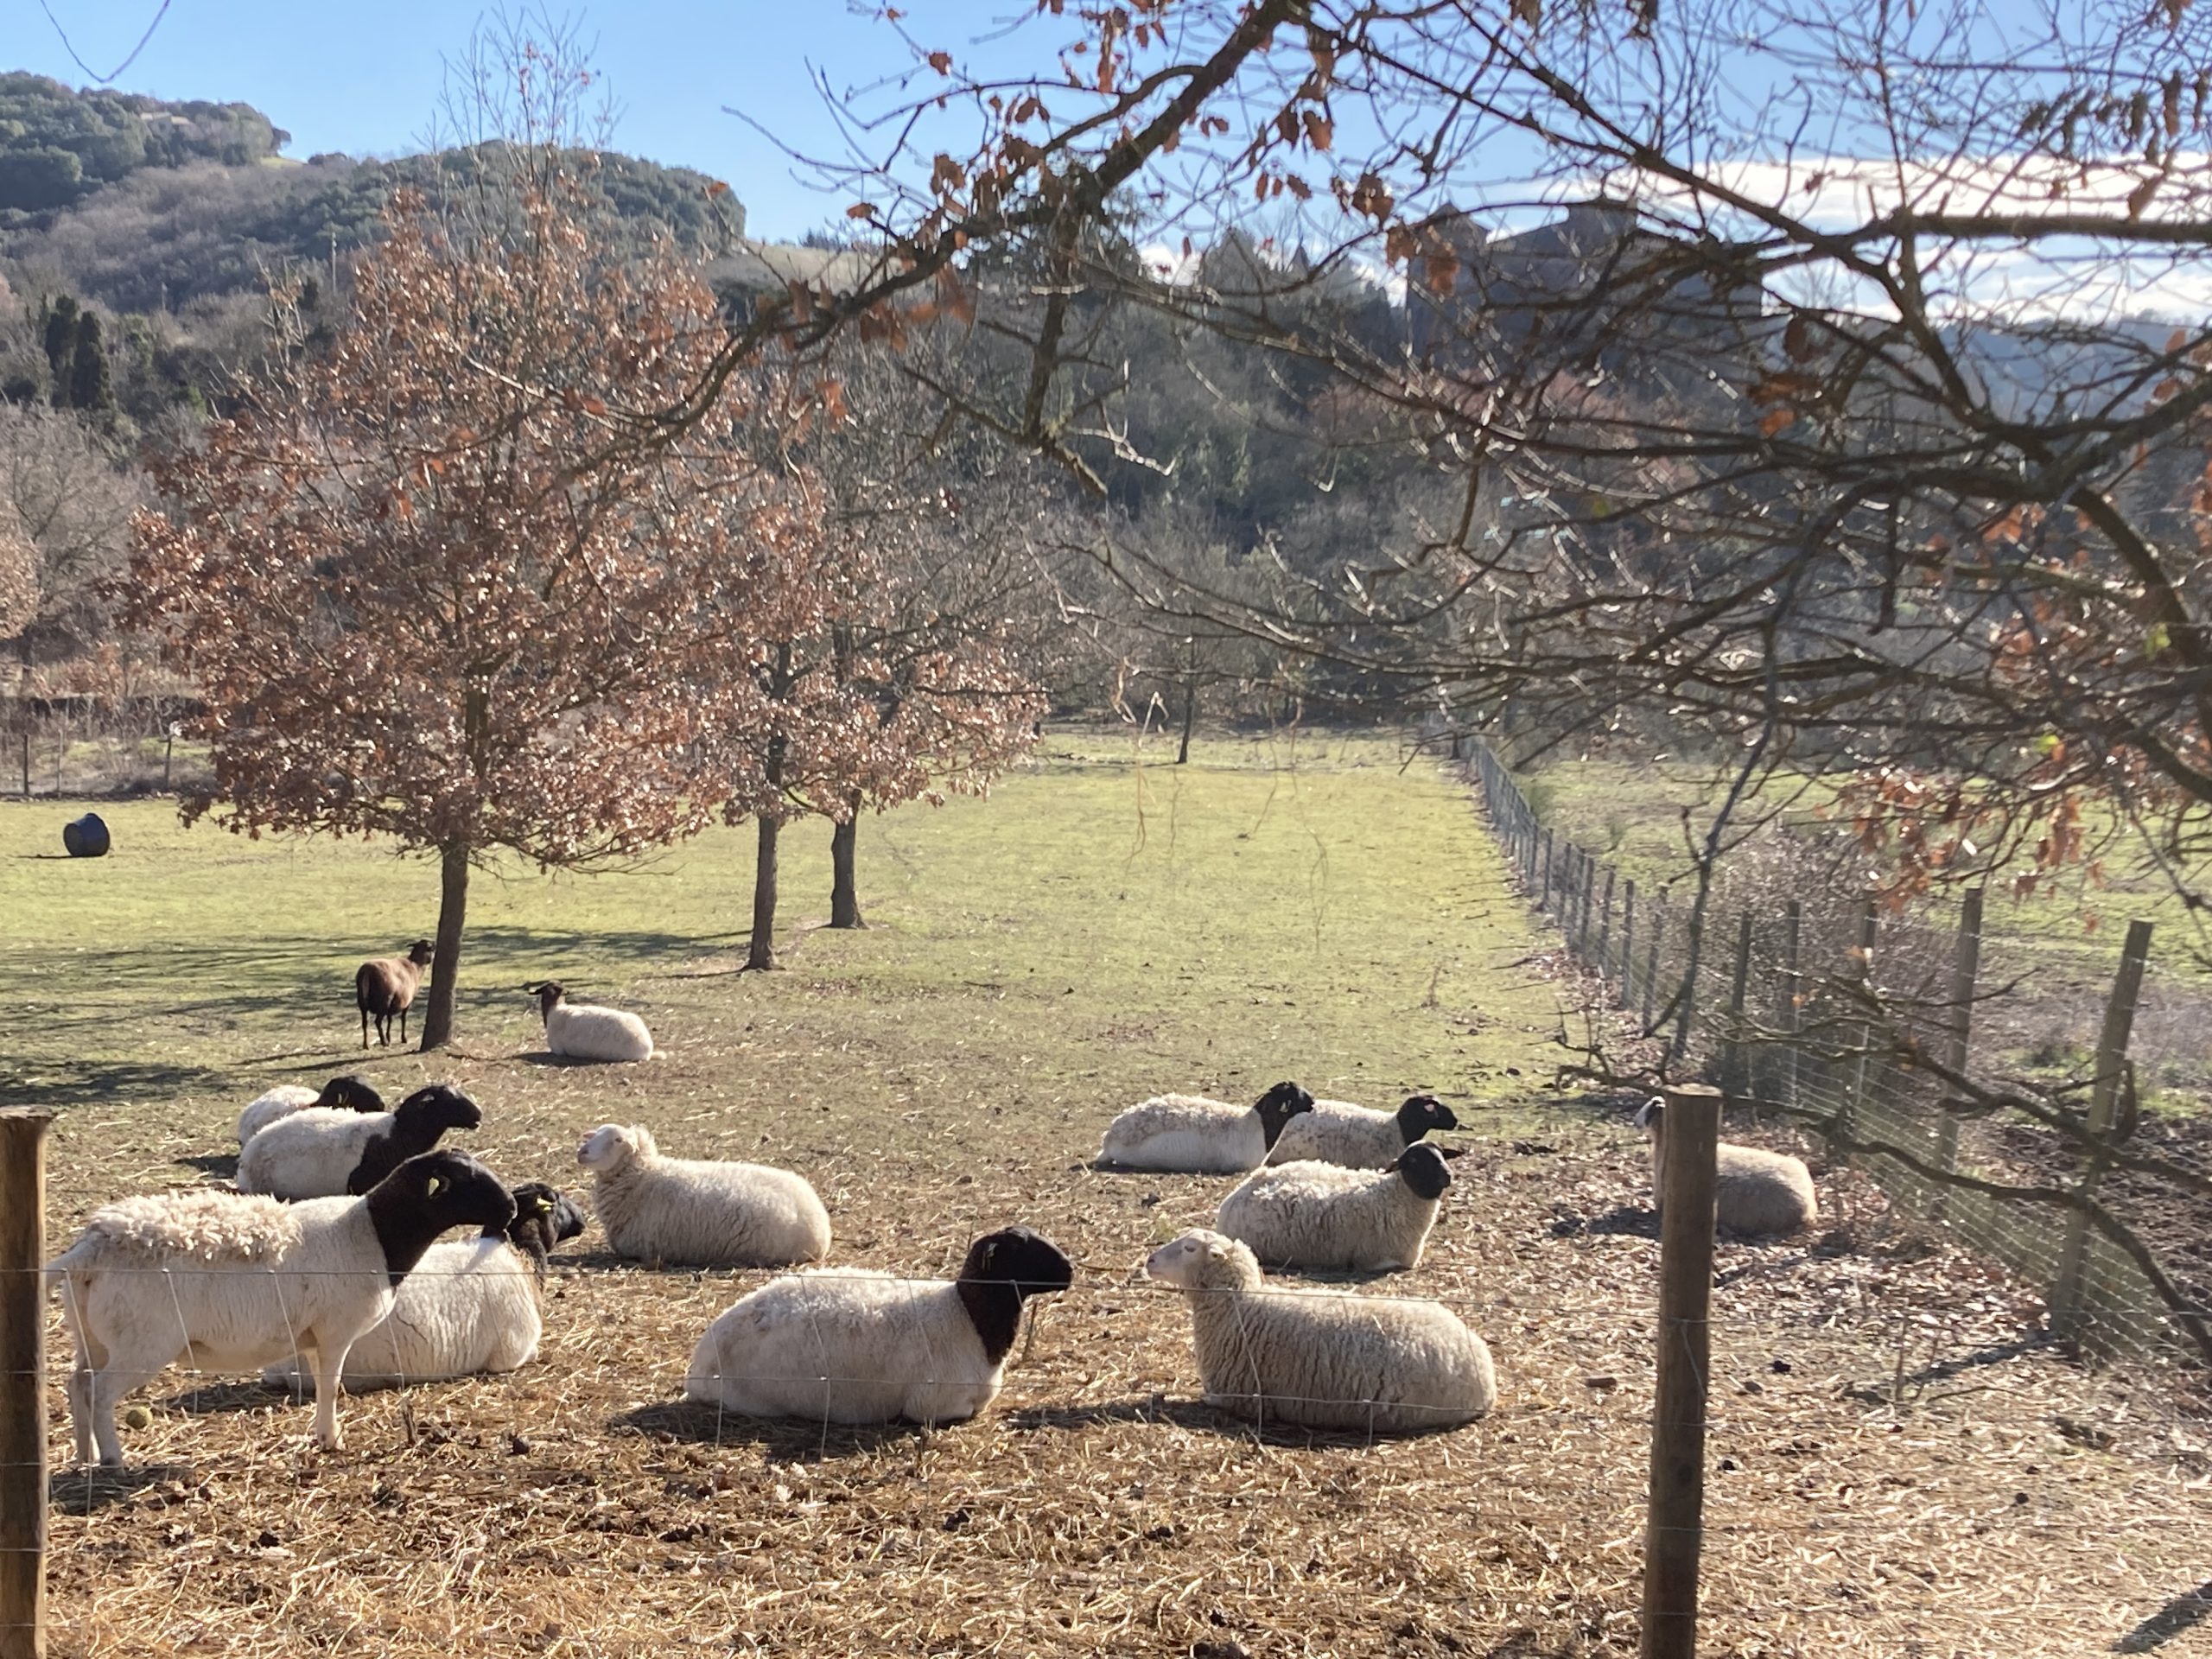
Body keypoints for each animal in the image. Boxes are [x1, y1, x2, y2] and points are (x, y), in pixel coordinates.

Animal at [49, 1149, 515, 1465]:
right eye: (465, 1180)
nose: (510, 1208)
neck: (370, 1233)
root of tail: (93, 1247)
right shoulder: (335, 1332)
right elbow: (331, 1384)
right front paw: (331, 1439)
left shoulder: (309, 1337)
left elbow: (317, 1385)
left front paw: (320, 1434)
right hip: (141, 1341)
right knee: (101, 1391)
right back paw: (113, 1458)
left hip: (92, 1334)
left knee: (78, 1383)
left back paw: (86, 1454)